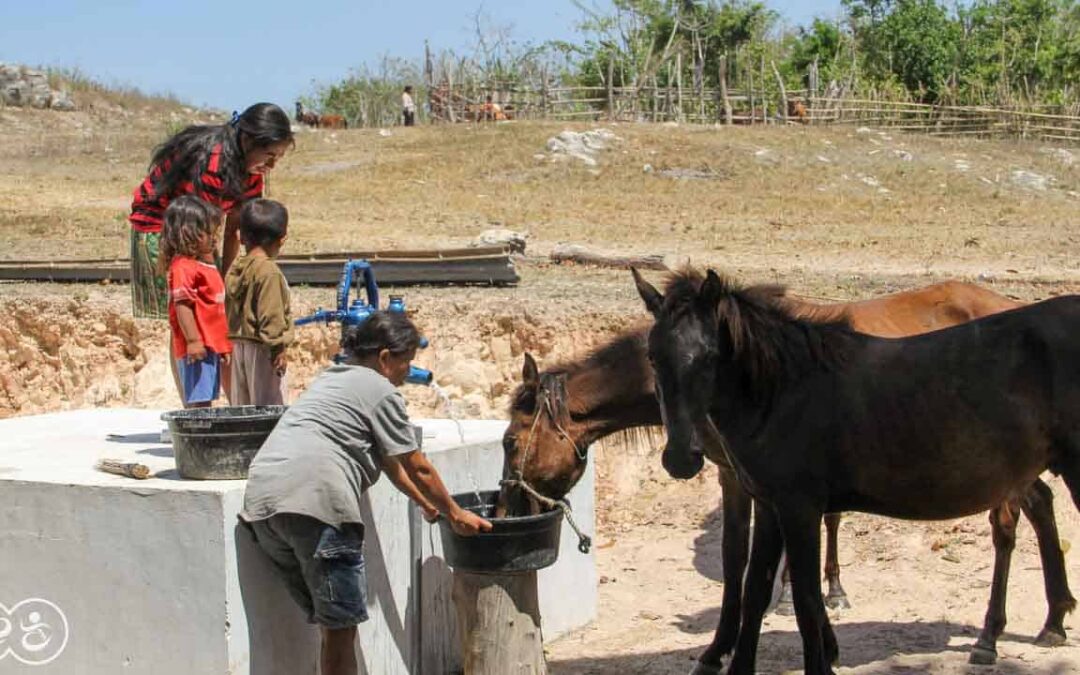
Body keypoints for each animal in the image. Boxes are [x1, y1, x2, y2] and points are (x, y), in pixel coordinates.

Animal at [501, 278, 1075, 673]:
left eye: (509, 442)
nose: (510, 507)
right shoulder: (748, 484)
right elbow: (755, 568)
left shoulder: (750, 484)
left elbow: (742, 563)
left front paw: (721, 649)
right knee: (1041, 506)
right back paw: (1053, 618)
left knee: (1007, 526)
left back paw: (993, 635)